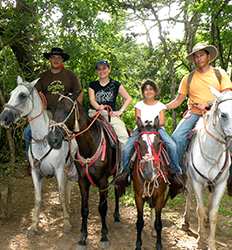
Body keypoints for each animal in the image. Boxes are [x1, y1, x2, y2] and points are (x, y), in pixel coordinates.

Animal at [0, 76, 75, 234]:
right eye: (10, 94)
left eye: (22, 95)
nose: (4, 118)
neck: (43, 139)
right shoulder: (35, 171)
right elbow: (38, 198)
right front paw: (34, 225)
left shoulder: (59, 170)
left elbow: (60, 195)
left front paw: (66, 223)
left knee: (70, 185)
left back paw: (69, 208)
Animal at [46, 94, 120, 246]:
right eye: (55, 109)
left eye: (68, 109)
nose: (52, 139)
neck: (89, 146)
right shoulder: (83, 181)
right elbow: (84, 209)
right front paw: (83, 237)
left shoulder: (103, 182)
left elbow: (102, 208)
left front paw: (104, 236)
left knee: (117, 191)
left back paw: (117, 216)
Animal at [132, 117, 169, 250]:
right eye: (138, 144)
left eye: (159, 143)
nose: (149, 173)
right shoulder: (138, 196)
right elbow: (139, 222)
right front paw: (138, 244)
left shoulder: (160, 197)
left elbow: (159, 223)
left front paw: (158, 244)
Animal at [183, 87, 232, 249]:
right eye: (223, 115)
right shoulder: (197, 182)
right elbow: (200, 210)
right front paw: (200, 240)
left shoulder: (221, 184)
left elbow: (213, 213)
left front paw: (211, 243)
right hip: (189, 178)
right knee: (189, 195)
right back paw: (186, 222)